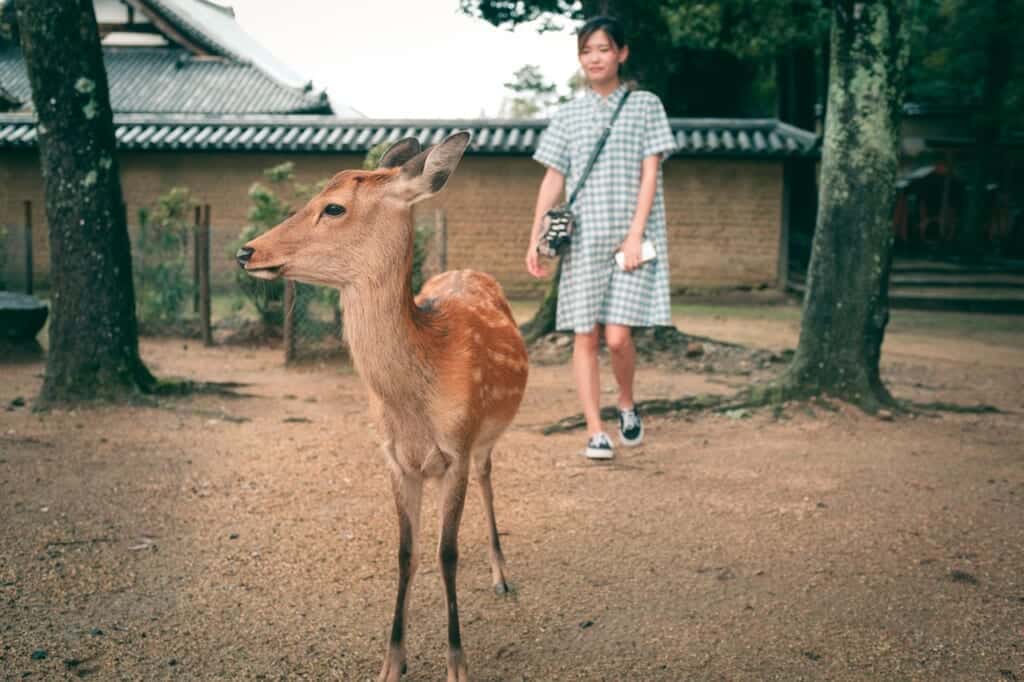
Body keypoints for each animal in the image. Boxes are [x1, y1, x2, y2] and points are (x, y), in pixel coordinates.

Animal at [236, 132, 528, 682]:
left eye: (333, 207)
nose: (247, 250)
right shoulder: (395, 459)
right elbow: (406, 552)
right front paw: (392, 662)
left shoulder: (456, 448)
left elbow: (447, 553)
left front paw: (457, 665)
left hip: (487, 434)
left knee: (487, 475)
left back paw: (502, 574)